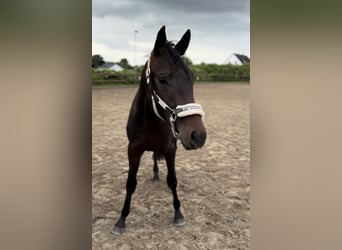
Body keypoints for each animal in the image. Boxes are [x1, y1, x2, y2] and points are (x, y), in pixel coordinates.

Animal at [113, 25, 207, 234]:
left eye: (193, 79)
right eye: (163, 79)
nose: (198, 136)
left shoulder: (170, 149)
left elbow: (172, 180)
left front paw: (178, 214)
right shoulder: (133, 150)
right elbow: (130, 183)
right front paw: (121, 219)